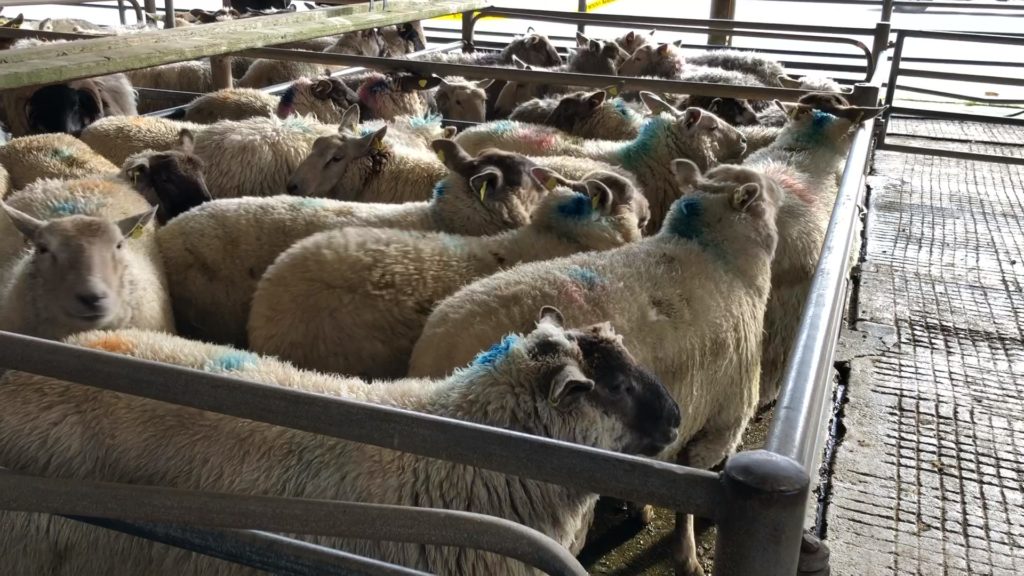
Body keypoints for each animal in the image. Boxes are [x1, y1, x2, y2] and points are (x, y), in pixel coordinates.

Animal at [408, 162, 780, 576]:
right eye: (764, 194)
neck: (719, 255)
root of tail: (435, 349)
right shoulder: (719, 423)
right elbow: (687, 504)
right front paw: (687, 556)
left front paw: (641, 508)